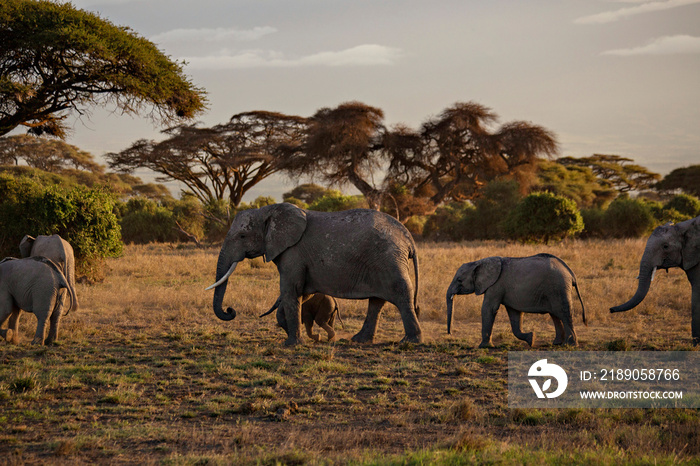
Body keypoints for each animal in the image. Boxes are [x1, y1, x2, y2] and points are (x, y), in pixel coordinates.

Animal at [204, 204, 422, 346]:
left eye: (242, 236)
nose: (230, 310)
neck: (266, 211)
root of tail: (407, 236)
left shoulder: (293, 253)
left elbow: (290, 290)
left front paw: (292, 344)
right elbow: (301, 293)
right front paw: (295, 338)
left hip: (389, 258)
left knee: (401, 293)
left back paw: (409, 342)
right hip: (382, 261)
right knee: (377, 301)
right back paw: (360, 340)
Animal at [446, 253, 588, 348]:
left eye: (459, 280)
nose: (450, 334)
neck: (478, 262)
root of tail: (571, 273)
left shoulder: (495, 285)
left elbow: (489, 309)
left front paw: (484, 346)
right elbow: (514, 314)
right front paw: (531, 339)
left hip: (558, 287)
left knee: (564, 313)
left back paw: (570, 345)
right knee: (555, 315)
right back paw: (557, 343)